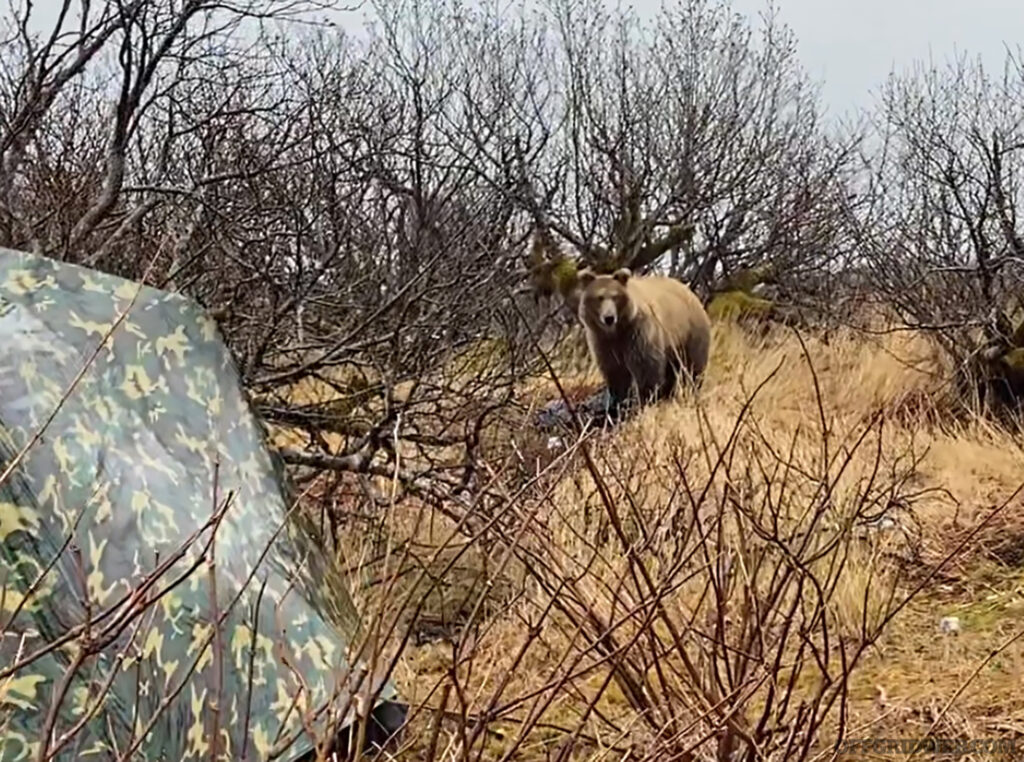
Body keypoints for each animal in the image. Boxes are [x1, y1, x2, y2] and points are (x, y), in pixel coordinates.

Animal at [577, 266, 712, 413]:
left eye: (615, 296)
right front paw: (619, 402)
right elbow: (615, 371)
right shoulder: (603, 341)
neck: (617, 331)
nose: (609, 318)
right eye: (599, 297)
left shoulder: (638, 333)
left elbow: (646, 367)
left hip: (690, 333)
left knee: (693, 367)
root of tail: (691, 292)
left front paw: (647, 401)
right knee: (671, 372)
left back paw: (691, 390)